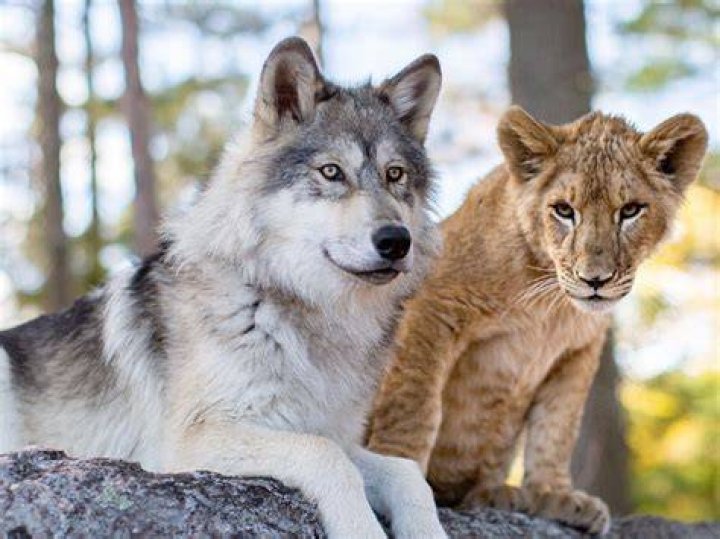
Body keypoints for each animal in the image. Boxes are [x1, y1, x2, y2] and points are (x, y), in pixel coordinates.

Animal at [0, 37, 447, 538]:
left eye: (395, 175)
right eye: (332, 172)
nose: (396, 241)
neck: (300, 311)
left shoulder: (328, 430)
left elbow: (407, 474)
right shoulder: (188, 442)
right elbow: (327, 457)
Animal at [367, 106, 708, 534]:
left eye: (630, 210)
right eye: (564, 210)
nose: (595, 280)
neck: (552, 305)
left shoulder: (579, 350)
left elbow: (557, 427)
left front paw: (552, 495)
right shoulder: (432, 305)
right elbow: (414, 403)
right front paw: (399, 472)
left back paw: (497, 494)